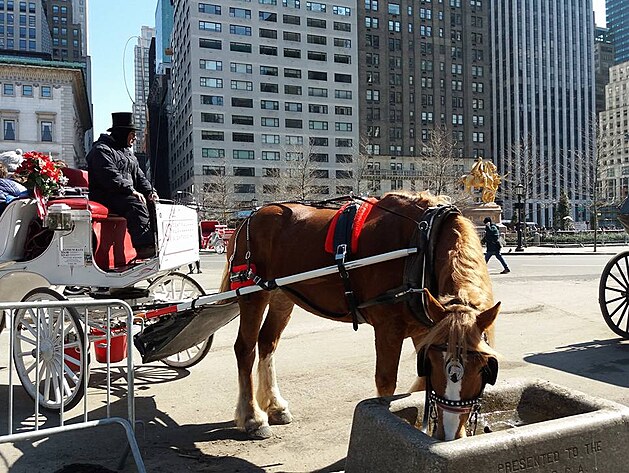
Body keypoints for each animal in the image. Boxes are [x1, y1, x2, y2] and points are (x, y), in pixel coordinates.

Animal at [221, 190, 500, 440]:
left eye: (484, 368)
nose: (451, 434)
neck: (424, 242)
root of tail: (250, 217)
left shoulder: (427, 330)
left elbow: (422, 384)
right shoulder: (388, 328)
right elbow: (387, 384)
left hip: (281, 295)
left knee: (267, 343)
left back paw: (276, 406)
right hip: (252, 294)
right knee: (245, 348)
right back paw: (253, 418)